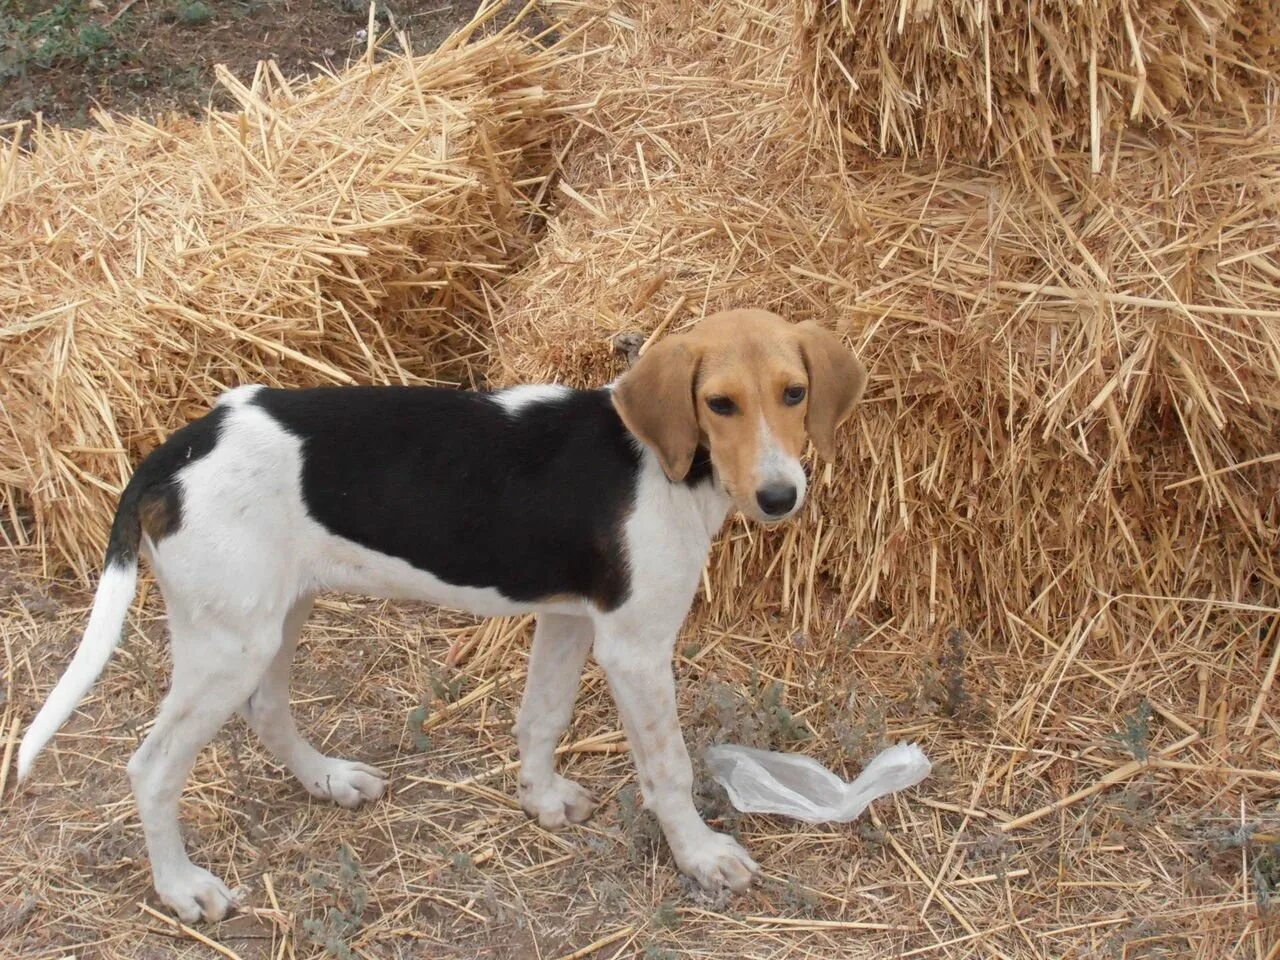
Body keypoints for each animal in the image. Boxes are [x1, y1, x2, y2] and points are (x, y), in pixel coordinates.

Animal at [15, 308, 870, 926]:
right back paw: (181, 886)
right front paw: (700, 855)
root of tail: (178, 450)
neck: (663, 464)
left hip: (277, 613)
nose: (780, 497)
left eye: (794, 393)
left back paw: (327, 779)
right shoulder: (635, 645)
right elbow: (669, 768)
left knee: (267, 709)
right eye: (719, 404)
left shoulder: (571, 620)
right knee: (153, 766)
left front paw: (539, 800)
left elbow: (542, 717)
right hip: (230, 641)